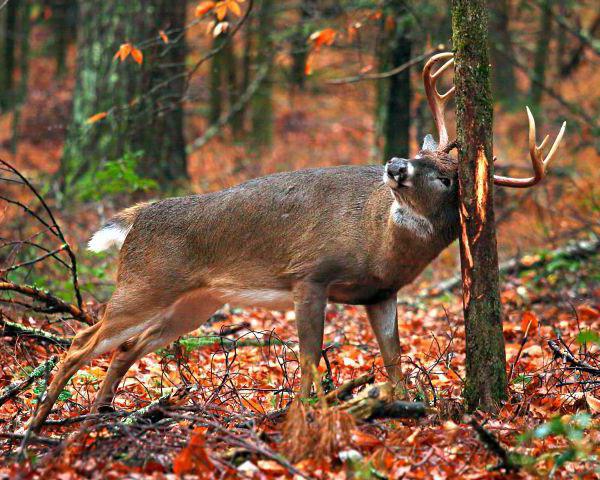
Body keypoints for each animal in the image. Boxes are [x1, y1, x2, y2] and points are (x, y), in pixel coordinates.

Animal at [27, 52, 564, 432]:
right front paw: (307, 416)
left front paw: (407, 410)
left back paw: (99, 413)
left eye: (449, 178)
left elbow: (394, 361)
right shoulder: (311, 274)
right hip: (145, 284)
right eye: (418, 152)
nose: (395, 165)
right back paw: (36, 423)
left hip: (194, 302)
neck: (379, 242)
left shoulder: (381, 293)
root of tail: (137, 218)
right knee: (80, 341)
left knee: (124, 347)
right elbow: (309, 357)